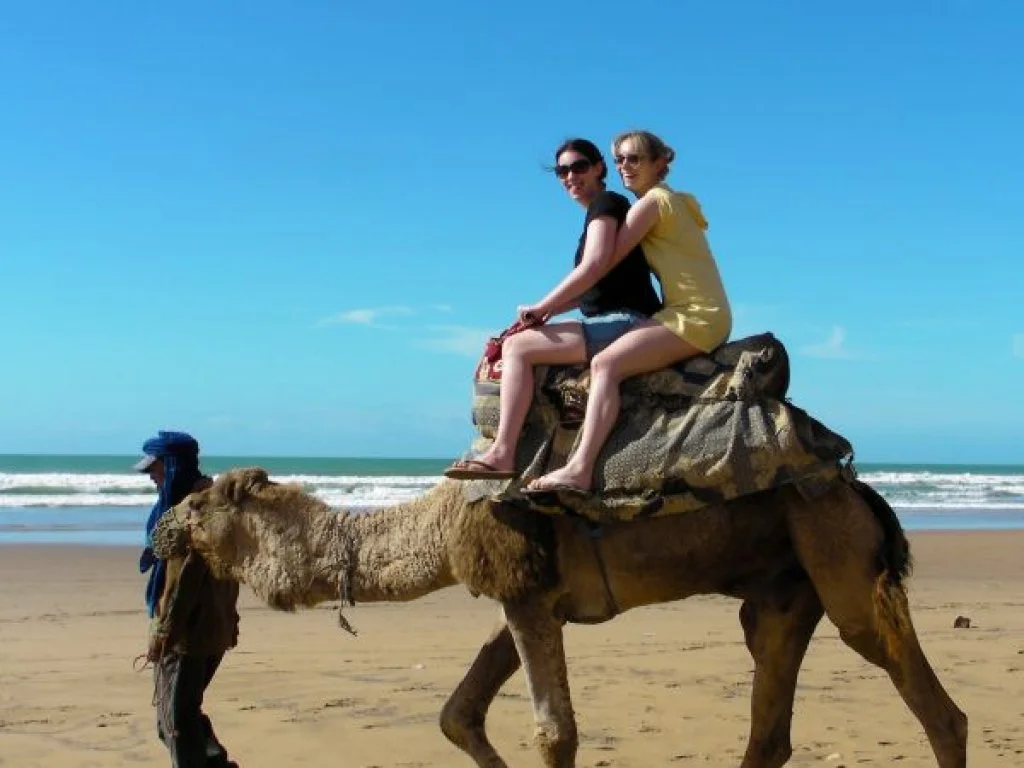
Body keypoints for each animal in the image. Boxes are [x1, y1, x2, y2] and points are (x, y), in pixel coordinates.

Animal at [164, 467, 967, 767]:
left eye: (198, 503)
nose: (164, 526)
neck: (441, 524)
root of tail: (863, 491)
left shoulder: (525, 592)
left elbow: (556, 732)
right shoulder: (527, 595)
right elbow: (458, 714)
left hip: (837, 552)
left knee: (934, 705)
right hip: (782, 590)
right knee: (770, 723)